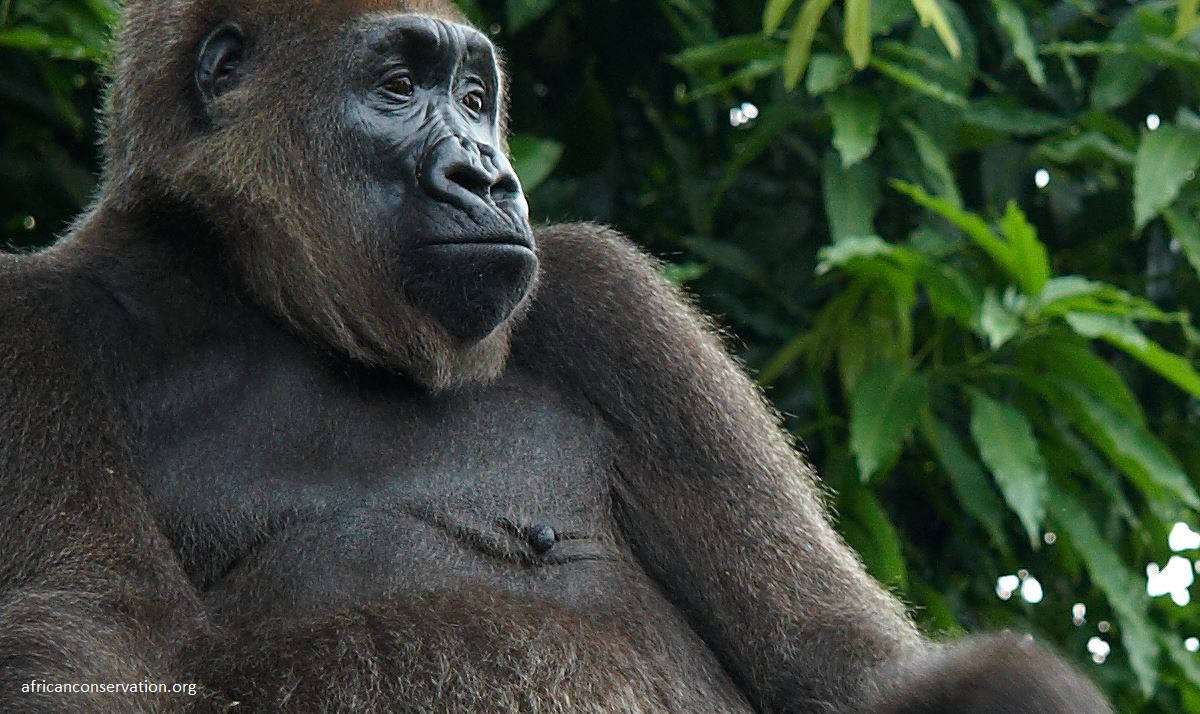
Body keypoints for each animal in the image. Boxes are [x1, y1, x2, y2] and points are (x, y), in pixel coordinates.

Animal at [0, 1, 1112, 712]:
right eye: (397, 86)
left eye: (474, 96)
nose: (489, 176)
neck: (271, 303)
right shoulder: (34, 334)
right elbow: (87, 652)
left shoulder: (609, 304)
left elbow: (835, 656)